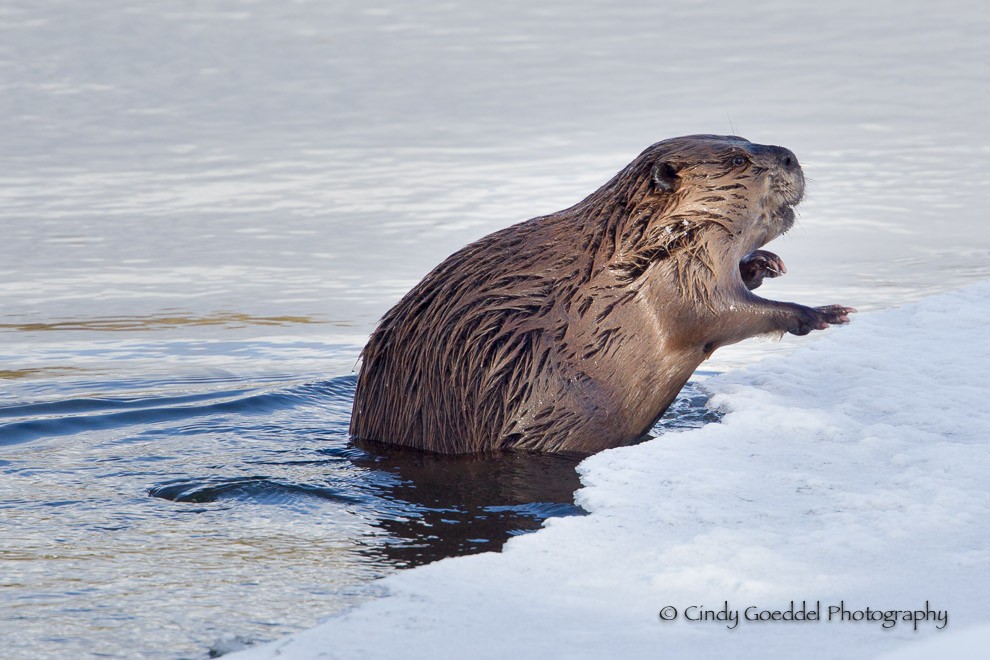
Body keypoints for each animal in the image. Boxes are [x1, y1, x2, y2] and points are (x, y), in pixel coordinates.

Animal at [352, 134, 856, 454]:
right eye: (737, 160)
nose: (790, 157)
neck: (635, 246)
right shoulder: (675, 272)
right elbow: (715, 313)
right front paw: (821, 311)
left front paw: (764, 264)